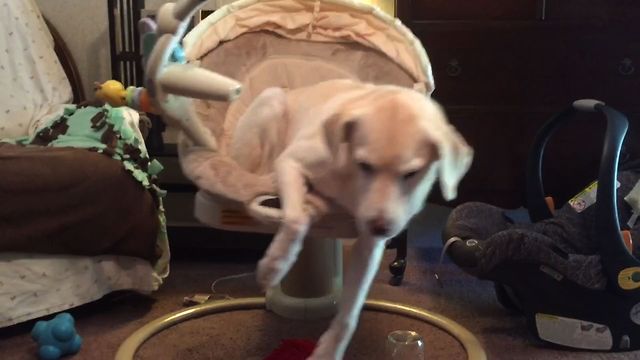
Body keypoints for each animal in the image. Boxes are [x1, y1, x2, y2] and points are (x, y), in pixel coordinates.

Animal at [230, 78, 470, 358]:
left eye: (412, 173)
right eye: (364, 165)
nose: (380, 228)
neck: (350, 181)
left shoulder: (369, 246)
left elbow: (350, 313)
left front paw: (329, 351)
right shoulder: (291, 161)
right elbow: (295, 220)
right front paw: (273, 266)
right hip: (271, 104)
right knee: (253, 169)